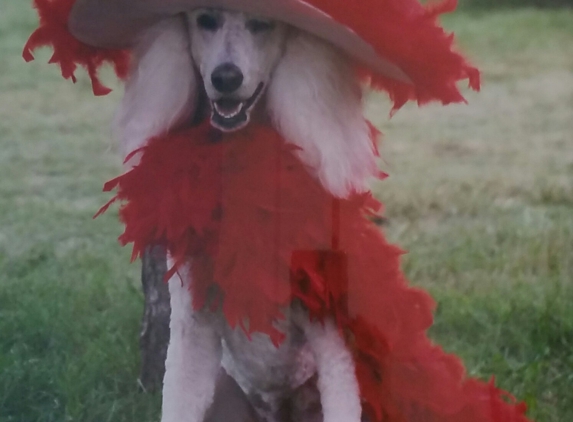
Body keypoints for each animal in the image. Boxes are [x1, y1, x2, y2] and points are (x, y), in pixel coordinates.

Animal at [113, 8, 380, 422]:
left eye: (262, 24)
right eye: (205, 20)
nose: (226, 77)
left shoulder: (327, 329)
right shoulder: (192, 324)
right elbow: (177, 401)